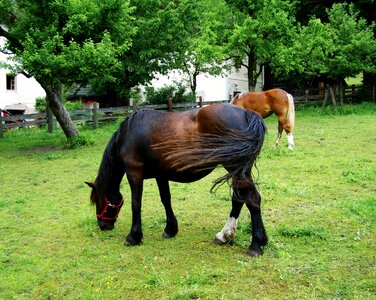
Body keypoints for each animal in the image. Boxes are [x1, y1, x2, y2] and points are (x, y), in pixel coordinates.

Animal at [86, 103, 268, 255]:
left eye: (98, 200)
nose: (103, 225)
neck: (127, 135)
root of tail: (247, 113)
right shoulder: (161, 175)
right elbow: (166, 199)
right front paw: (170, 229)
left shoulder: (134, 173)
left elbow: (136, 204)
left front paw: (133, 237)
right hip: (238, 170)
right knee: (239, 199)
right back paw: (224, 235)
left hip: (234, 167)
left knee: (252, 199)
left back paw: (255, 245)